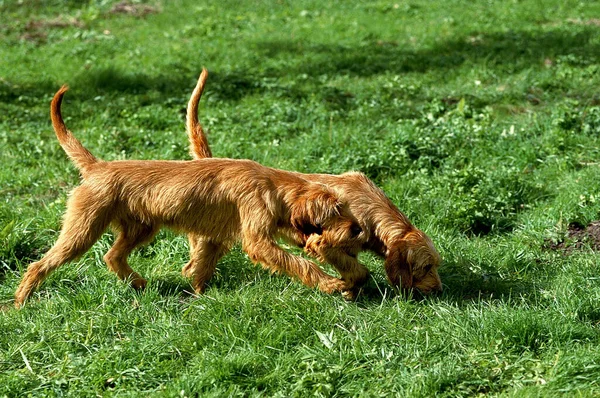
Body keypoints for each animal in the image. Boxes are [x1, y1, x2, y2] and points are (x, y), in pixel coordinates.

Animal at [14, 84, 364, 308]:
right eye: (336, 211)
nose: (358, 229)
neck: (270, 184)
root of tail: (97, 167)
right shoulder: (257, 238)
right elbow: (298, 263)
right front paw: (331, 283)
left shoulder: (259, 229)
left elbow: (204, 265)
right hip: (83, 230)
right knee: (40, 264)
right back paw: (21, 300)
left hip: (140, 228)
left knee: (112, 256)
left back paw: (139, 284)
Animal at [183, 69, 440, 298]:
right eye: (426, 267)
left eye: (436, 265)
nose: (440, 289)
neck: (371, 209)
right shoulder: (323, 243)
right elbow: (358, 270)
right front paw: (347, 287)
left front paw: (350, 289)